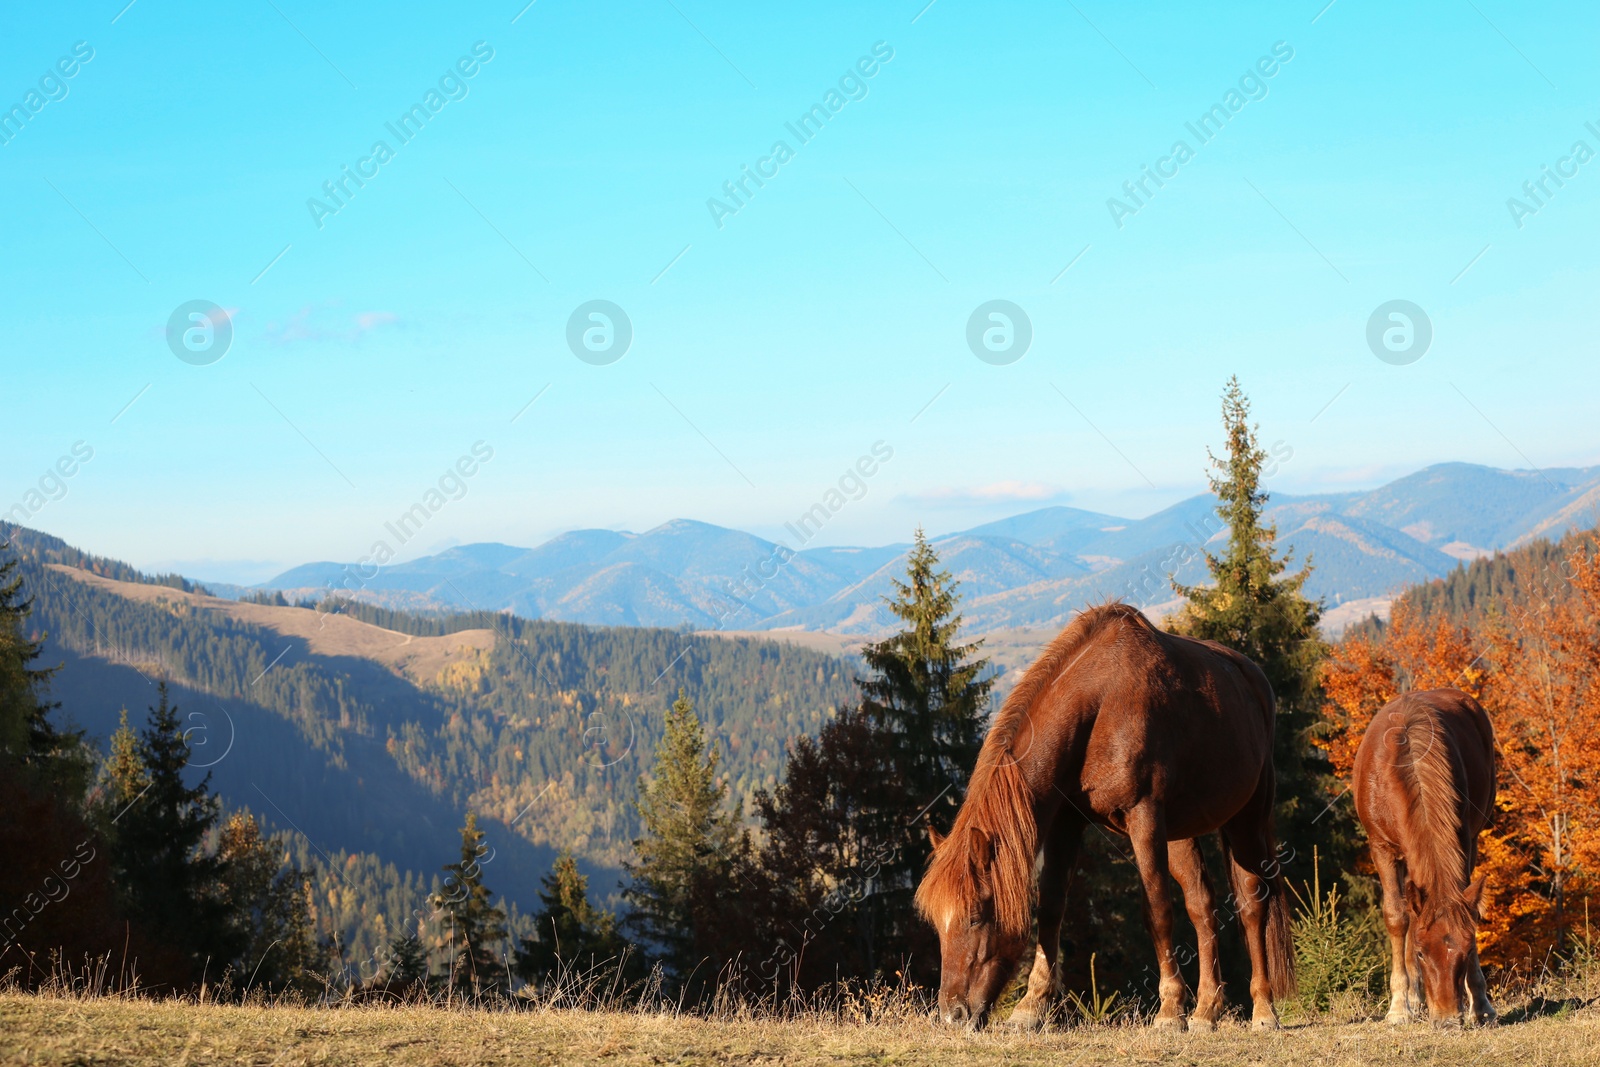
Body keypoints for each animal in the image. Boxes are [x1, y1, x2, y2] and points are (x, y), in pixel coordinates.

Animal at [921, 607, 1292, 1036]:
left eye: (976, 916)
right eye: (936, 924)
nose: (952, 1015)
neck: (1098, 703)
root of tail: (1254, 678)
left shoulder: (1143, 817)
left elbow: (1157, 911)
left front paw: (1170, 1010)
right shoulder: (1066, 822)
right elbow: (1051, 907)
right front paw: (1031, 1005)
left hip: (1246, 818)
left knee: (1252, 905)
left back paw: (1263, 1009)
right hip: (1180, 831)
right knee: (1202, 905)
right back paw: (1206, 1011)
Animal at [1350, 687, 1497, 1030]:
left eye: (1466, 951)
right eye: (1420, 952)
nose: (1447, 1018)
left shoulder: (1464, 841)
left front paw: (1481, 1004)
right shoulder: (1381, 848)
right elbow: (1396, 916)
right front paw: (1399, 1008)